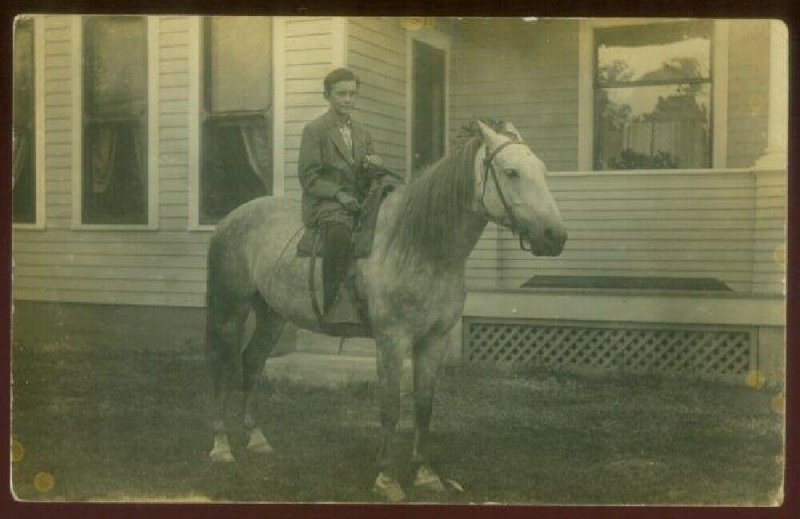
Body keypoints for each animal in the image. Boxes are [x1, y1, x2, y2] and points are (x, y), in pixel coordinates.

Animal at [206, 120, 568, 502]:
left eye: (542, 170)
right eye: (511, 172)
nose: (555, 236)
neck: (416, 244)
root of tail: (231, 218)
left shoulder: (434, 340)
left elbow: (424, 407)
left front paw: (424, 473)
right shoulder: (391, 340)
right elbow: (391, 408)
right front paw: (386, 477)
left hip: (272, 315)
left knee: (252, 362)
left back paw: (257, 439)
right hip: (229, 310)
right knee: (221, 367)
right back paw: (221, 447)